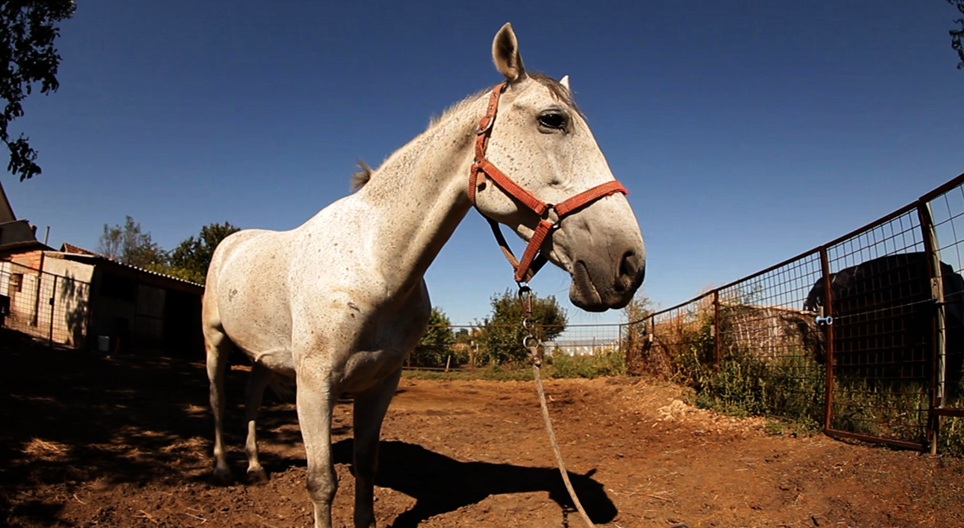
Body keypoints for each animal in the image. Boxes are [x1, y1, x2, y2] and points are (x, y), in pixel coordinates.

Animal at [202, 23, 646, 528]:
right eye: (553, 119)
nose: (628, 264)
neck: (373, 263)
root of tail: (230, 242)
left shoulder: (382, 381)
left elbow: (366, 464)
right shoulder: (315, 385)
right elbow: (322, 482)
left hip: (263, 358)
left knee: (252, 399)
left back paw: (256, 467)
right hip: (216, 342)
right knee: (218, 400)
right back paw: (223, 469)